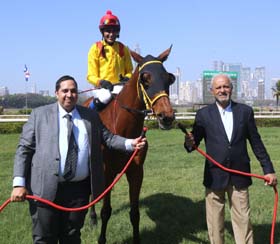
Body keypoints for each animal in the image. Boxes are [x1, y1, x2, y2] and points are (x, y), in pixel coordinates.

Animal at [82, 46, 175, 243]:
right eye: (145, 78)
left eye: (169, 78)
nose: (167, 117)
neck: (123, 129)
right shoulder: (107, 171)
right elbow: (106, 211)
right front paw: (101, 238)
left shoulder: (136, 171)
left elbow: (135, 213)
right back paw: (92, 217)